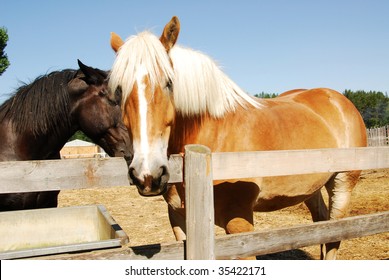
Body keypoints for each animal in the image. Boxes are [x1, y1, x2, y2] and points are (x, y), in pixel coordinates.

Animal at [109, 16, 366, 260]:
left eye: (170, 83)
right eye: (119, 90)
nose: (147, 175)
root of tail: (338, 100)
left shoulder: (240, 226)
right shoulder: (179, 220)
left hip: (342, 185)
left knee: (334, 237)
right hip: (311, 188)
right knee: (321, 226)